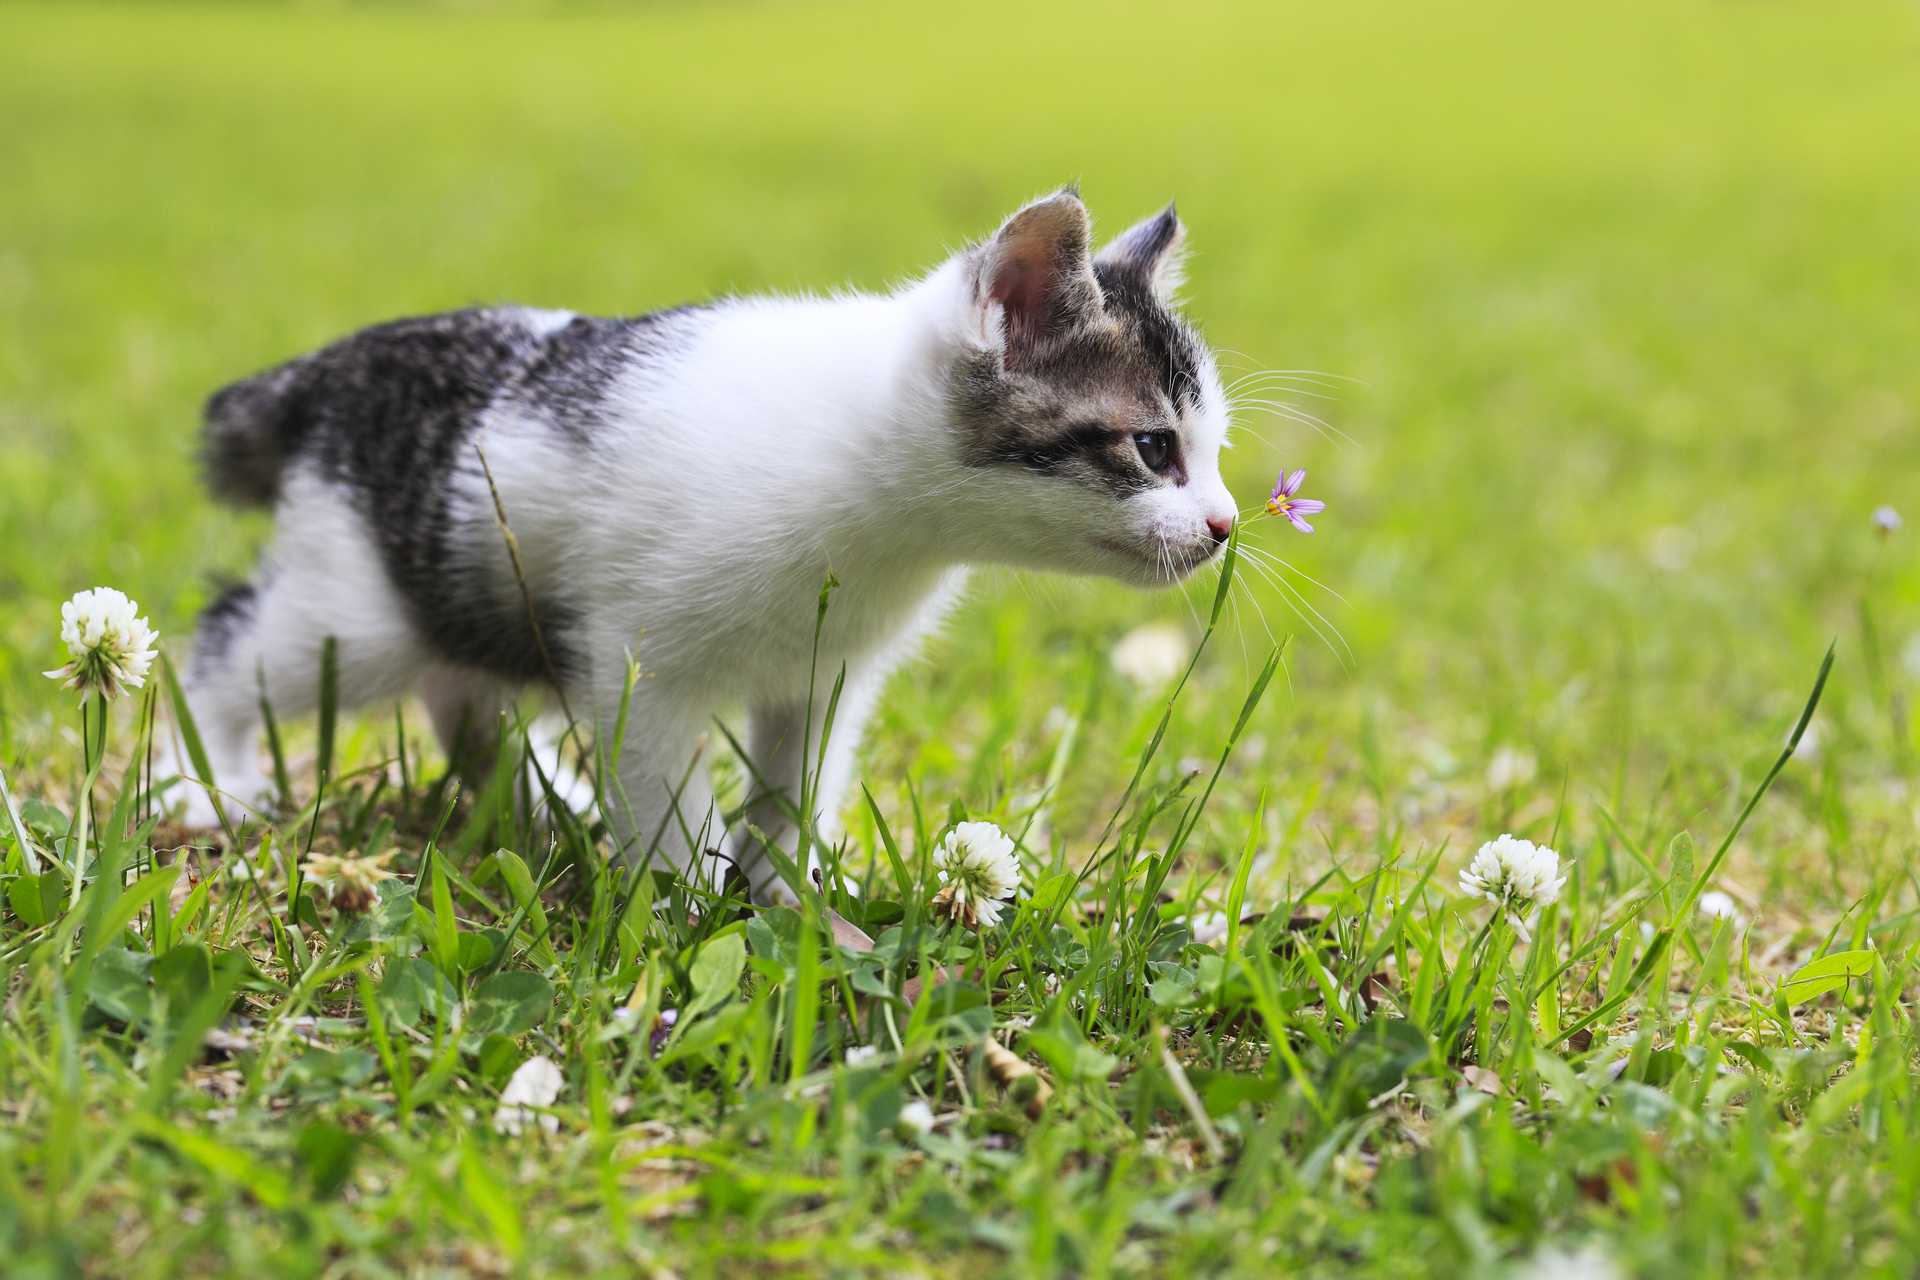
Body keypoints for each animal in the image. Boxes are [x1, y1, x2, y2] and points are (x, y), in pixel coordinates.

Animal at [172, 189, 1236, 898]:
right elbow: (666, 792)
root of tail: (326, 369)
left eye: (1215, 452)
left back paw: (544, 796)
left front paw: (786, 892)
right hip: (359, 607)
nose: (1226, 524)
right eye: (1154, 448)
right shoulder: (642, 663)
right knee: (228, 642)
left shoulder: (826, 675)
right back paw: (201, 785)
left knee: (458, 693)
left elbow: (796, 784)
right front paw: (687, 904)